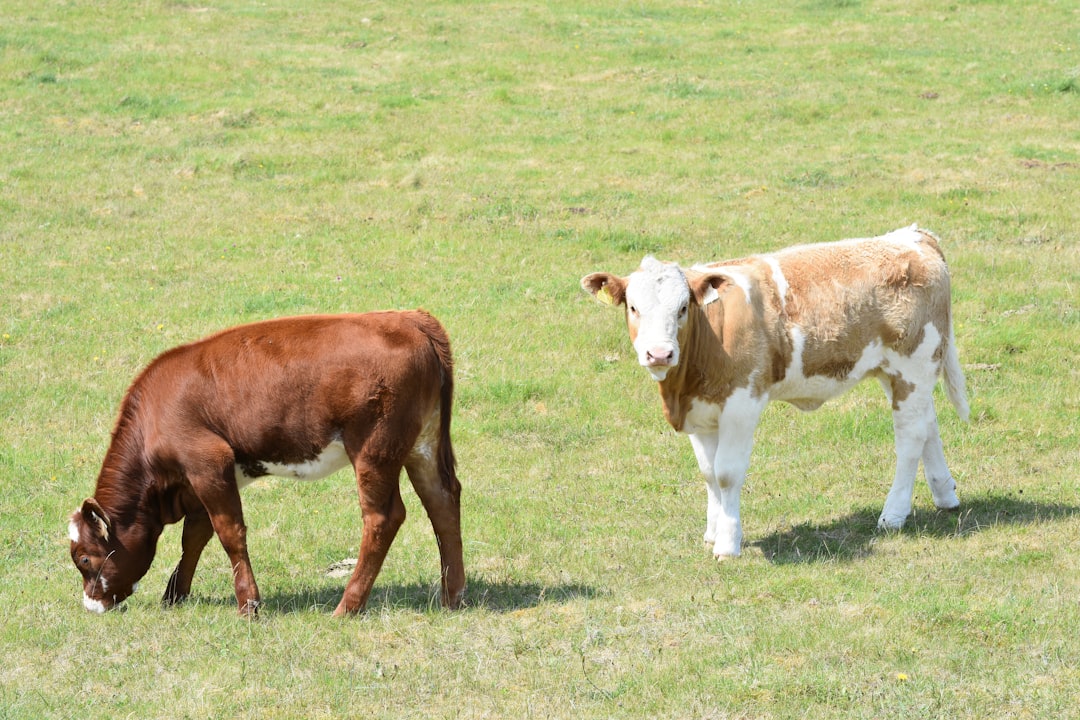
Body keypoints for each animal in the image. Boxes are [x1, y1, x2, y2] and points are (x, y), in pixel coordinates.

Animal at [68, 311, 465, 617]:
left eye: (85, 559)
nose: (91, 605)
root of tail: (409, 319)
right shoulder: (206, 477)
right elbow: (195, 535)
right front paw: (175, 595)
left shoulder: (207, 462)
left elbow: (229, 533)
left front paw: (249, 605)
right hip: (423, 444)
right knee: (442, 501)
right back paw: (453, 596)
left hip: (374, 449)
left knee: (383, 518)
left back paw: (347, 607)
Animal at [582, 225, 969, 559]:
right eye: (634, 307)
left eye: (682, 308)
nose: (660, 354)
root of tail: (912, 235)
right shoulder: (700, 413)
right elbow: (708, 473)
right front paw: (713, 532)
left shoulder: (741, 404)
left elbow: (726, 473)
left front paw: (728, 543)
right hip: (897, 373)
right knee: (927, 424)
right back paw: (944, 494)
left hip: (914, 363)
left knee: (910, 437)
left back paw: (893, 513)